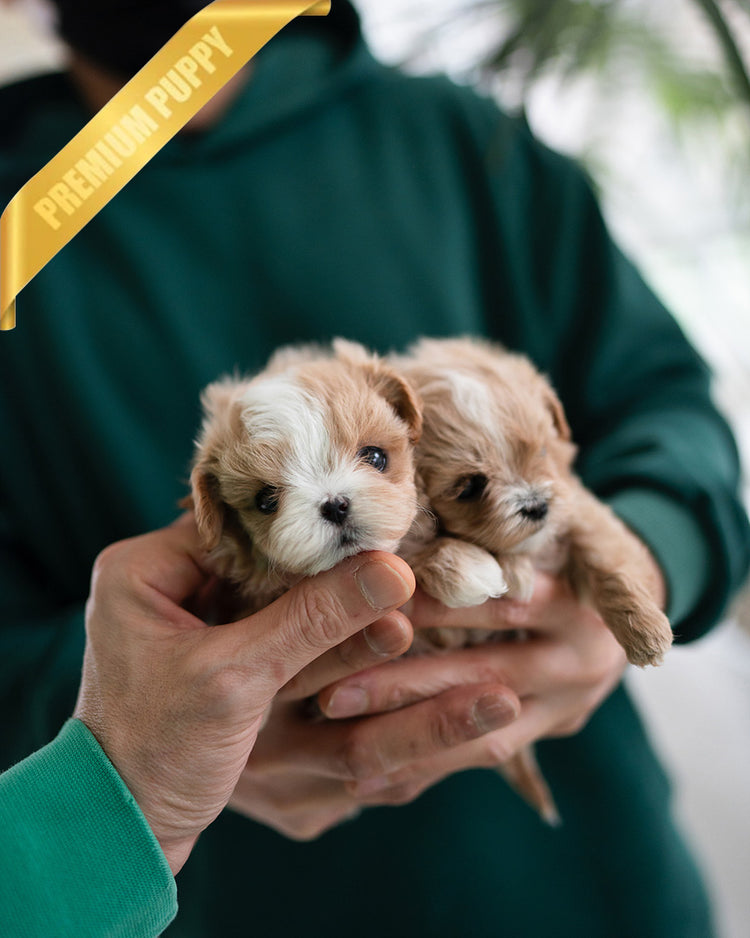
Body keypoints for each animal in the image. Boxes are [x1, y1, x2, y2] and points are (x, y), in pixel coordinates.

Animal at [396, 336, 672, 820]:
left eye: (542, 453)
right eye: (470, 487)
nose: (536, 506)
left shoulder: (577, 509)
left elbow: (605, 557)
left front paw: (645, 632)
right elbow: (419, 553)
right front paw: (475, 571)